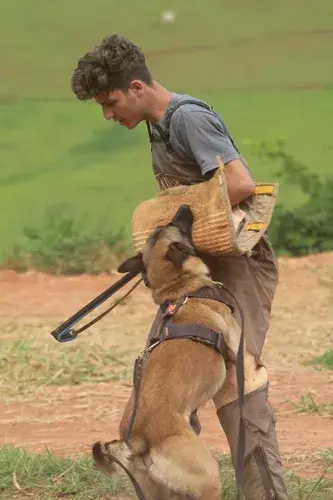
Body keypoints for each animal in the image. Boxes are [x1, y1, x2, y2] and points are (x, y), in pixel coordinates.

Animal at [91, 204, 241, 500]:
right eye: (177, 226)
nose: (184, 206)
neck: (178, 290)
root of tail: (138, 439)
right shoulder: (235, 337)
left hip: (153, 490)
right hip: (209, 477)